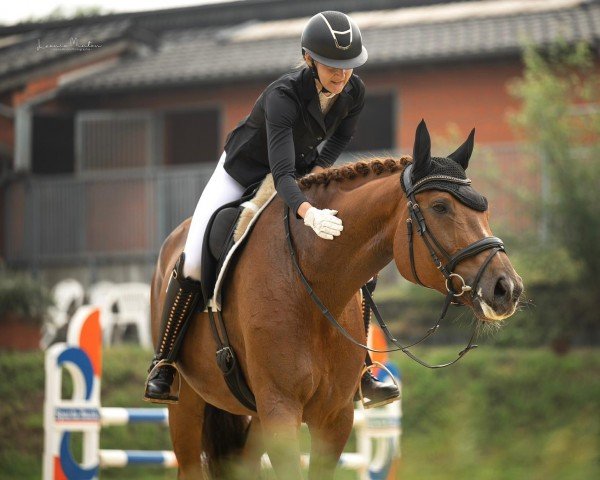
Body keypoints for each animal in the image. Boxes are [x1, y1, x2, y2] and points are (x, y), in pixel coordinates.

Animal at [151, 119, 524, 476]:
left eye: (485, 209)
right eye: (440, 207)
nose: (507, 289)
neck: (312, 285)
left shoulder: (334, 417)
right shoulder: (280, 409)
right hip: (188, 406)